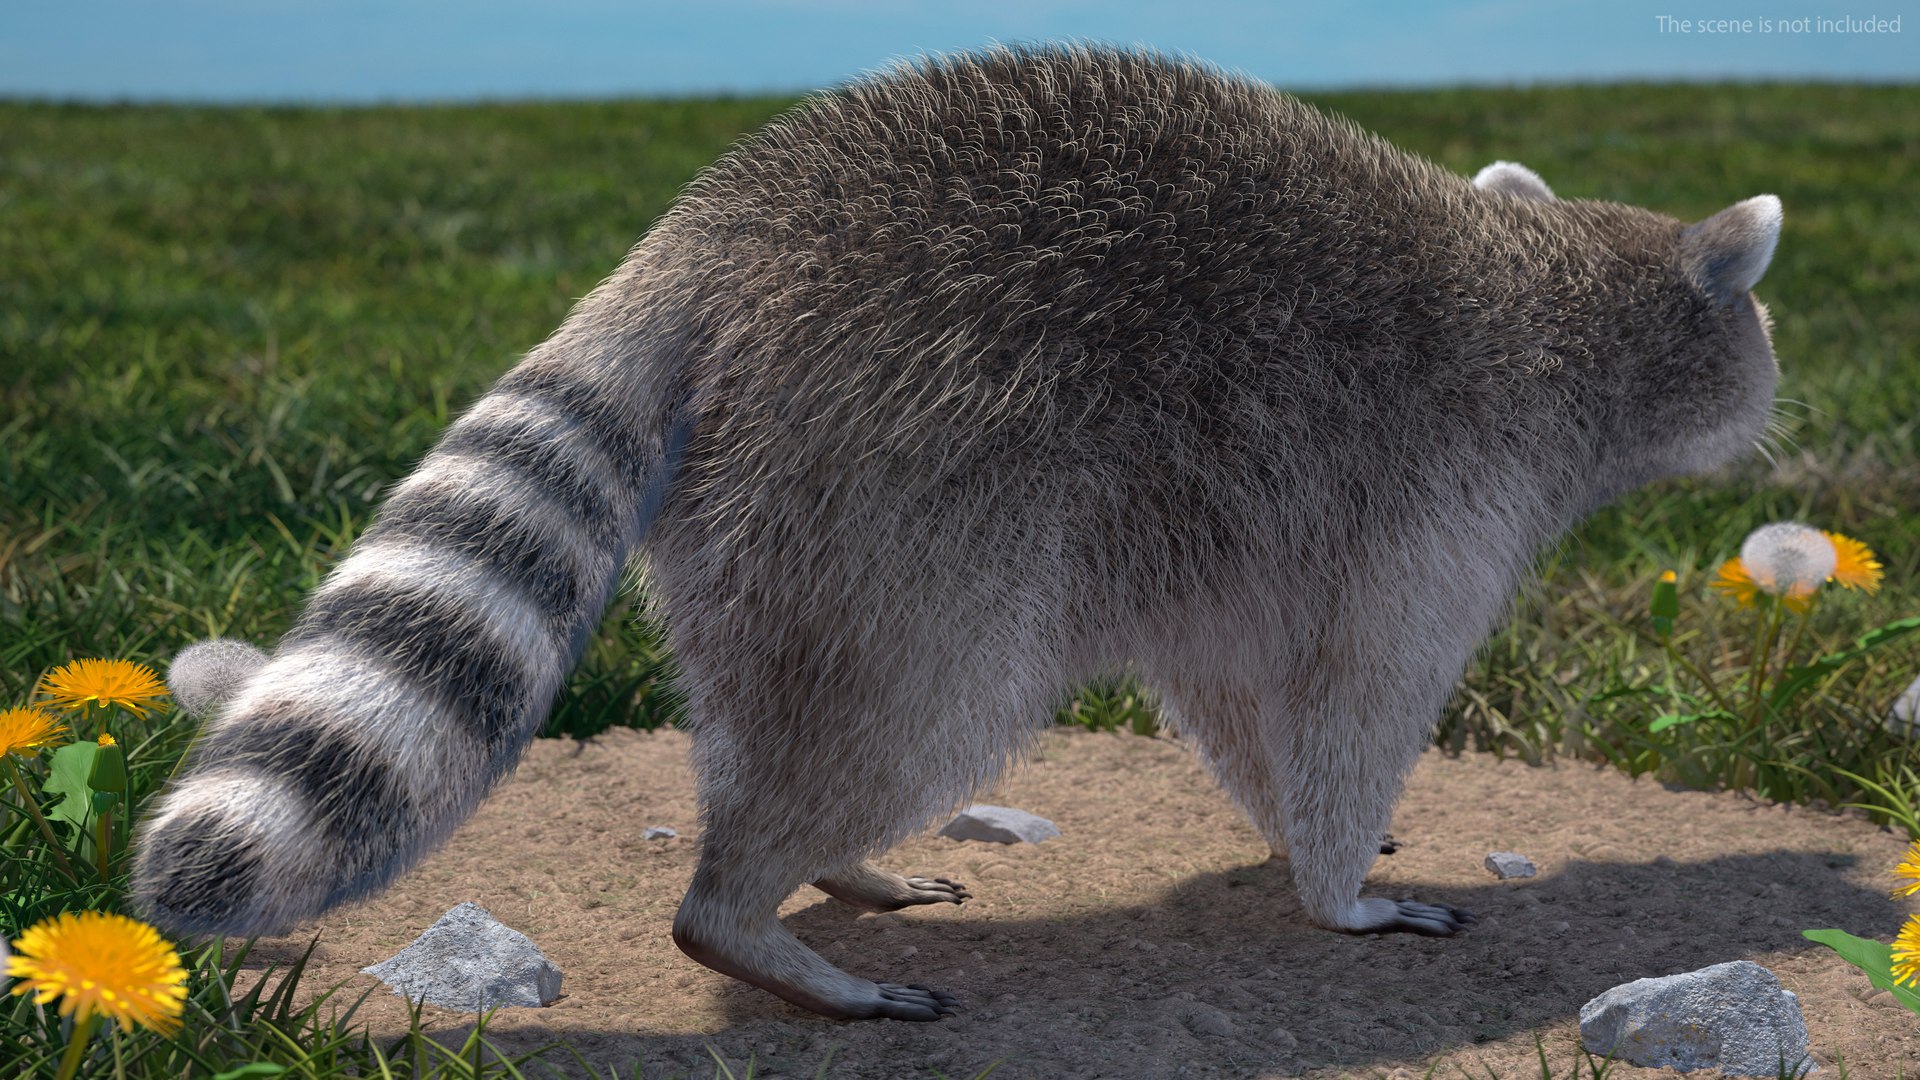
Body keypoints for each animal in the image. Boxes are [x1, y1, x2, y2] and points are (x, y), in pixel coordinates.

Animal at [134, 44, 1783, 1022]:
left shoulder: (1268, 528)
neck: (1549, 294)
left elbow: (1244, 689)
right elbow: (1355, 697)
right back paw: (743, 912)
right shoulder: (1439, 491)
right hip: (906, 473)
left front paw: (1289, 831)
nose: (1783, 414)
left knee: (792, 700)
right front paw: (1337, 888)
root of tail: (720, 220)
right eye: (1760, 323)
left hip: (767, 505)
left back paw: (819, 865)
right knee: (925, 706)